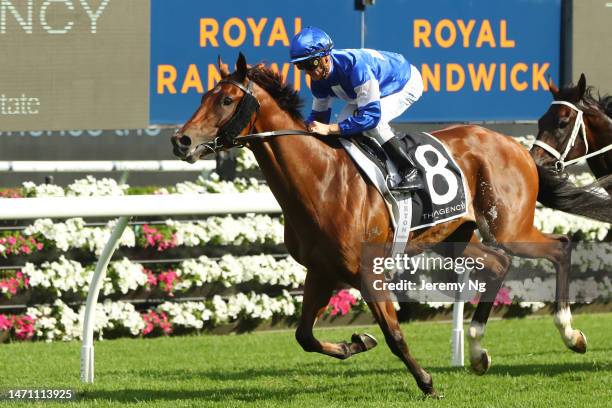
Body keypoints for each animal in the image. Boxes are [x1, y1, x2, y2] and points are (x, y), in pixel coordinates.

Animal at [170, 53, 592, 396]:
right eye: (203, 96)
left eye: (226, 100)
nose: (181, 140)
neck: (321, 179)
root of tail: (517, 146)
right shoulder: (322, 270)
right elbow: (305, 336)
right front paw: (356, 343)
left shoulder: (368, 271)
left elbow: (395, 335)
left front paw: (427, 382)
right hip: (452, 238)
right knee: (499, 263)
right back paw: (477, 351)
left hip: (510, 227)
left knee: (560, 246)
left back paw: (571, 334)